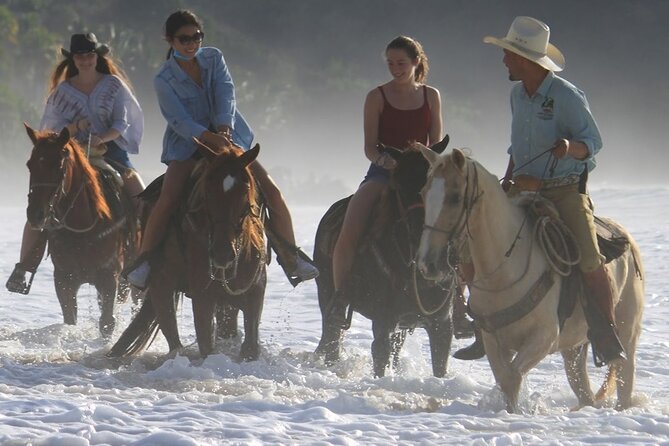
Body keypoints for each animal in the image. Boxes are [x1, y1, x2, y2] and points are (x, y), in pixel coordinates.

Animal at [24, 123, 137, 336]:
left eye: (59, 166)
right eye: (30, 164)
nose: (36, 214)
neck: (83, 228)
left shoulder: (109, 278)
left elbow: (107, 322)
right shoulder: (64, 279)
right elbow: (70, 319)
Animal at [109, 141, 266, 360]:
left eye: (245, 190)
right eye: (207, 191)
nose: (222, 253)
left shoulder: (255, 291)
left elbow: (250, 345)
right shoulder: (202, 296)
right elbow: (206, 345)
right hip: (162, 285)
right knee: (173, 338)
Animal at [312, 136, 454, 376]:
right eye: (399, 186)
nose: (421, 232)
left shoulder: (441, 324)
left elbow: (440, 366)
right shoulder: (383, 320)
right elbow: (380, 357)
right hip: (326, 290)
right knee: (332, 336)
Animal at [414, 146, 644, 412]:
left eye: (454, 197)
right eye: (423, 193)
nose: (427, 264)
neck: (504, 272)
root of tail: (627, 237)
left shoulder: (543, 338)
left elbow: (512, 378)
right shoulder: (493, 341)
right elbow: (505, 379)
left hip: (627, 334)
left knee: (625, 381)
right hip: (574, 349)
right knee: (583, 390)